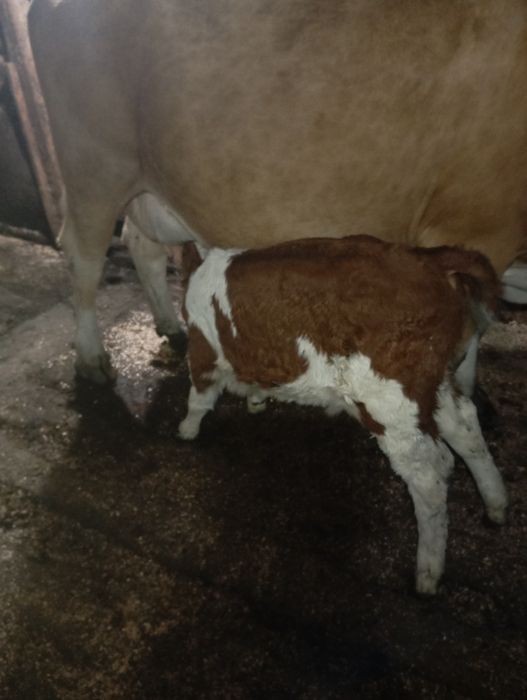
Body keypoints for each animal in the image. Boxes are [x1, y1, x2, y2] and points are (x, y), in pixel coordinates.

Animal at [28, 0, 527, 388]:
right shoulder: (479, 227)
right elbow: (473, 327)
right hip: (95, 165)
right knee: (84, 255)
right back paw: (91, 358)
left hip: (145, 176)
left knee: (140, 244)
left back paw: (171, 327)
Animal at [178, 235, 508, 594]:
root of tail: (429, 260)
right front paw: (256, 399)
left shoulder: (204, 351)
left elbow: (198, 397)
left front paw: (187, 430)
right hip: (430, 384)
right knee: (466, 427)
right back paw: (497, 505)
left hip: (389, 402)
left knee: (430, 475)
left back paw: (428, 573)